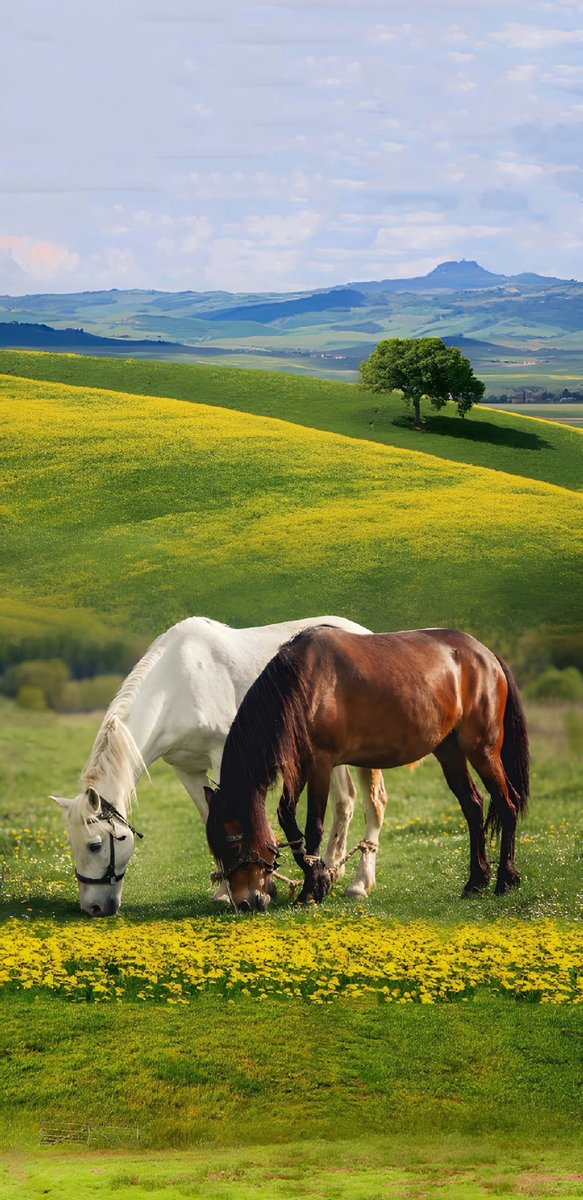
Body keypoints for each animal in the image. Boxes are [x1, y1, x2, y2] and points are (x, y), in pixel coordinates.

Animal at [51, 615, 387, 916]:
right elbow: (208, 818)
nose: (94, 908)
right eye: (71, 843)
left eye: (95, 845)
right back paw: (330, 871)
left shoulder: (224, 759)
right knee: (345, 801)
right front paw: (226, 889)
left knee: (374, 804)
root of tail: (362, 632)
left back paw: (359, 883)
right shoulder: (186, 769)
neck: (176, 688)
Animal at [205, 626, 529, 910]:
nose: (245, 903)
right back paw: (476, 882)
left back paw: (505, 880)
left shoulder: (320, 765)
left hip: (482, 750)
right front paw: (319, 878)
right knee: (473, 807)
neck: (303, 683)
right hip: (449, 752)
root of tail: (487, 656)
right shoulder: (299, 766)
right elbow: (287, 816)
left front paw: (310, 891)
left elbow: (313, 827)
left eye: (233, 845)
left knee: (507, 804)